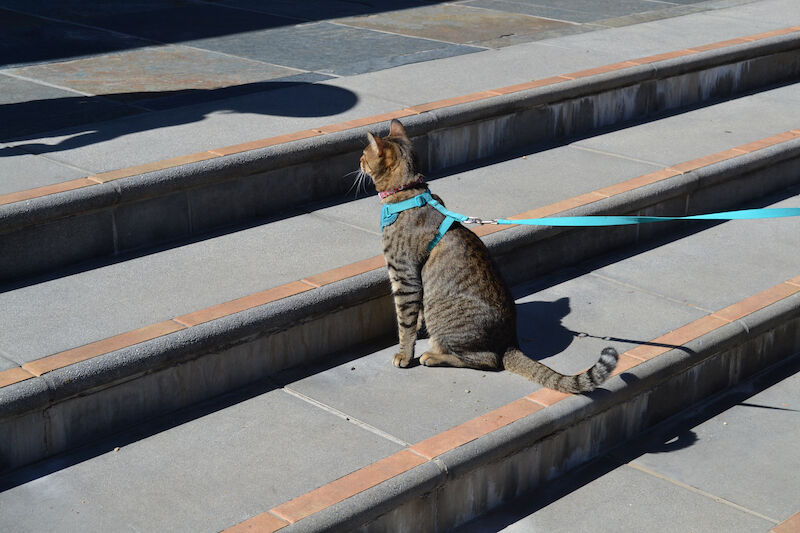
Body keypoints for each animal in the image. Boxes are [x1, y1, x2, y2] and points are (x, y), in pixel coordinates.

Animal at [360, 121, 620, 394]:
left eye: (363, 155)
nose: (358, 162)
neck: (409, 194)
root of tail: (510, 343)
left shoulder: (403, 275)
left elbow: (405, 322)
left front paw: (404, 354)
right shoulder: (414, 281)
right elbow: (415, 316)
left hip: (449, 323)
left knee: (489, 359)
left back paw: (433, 356)